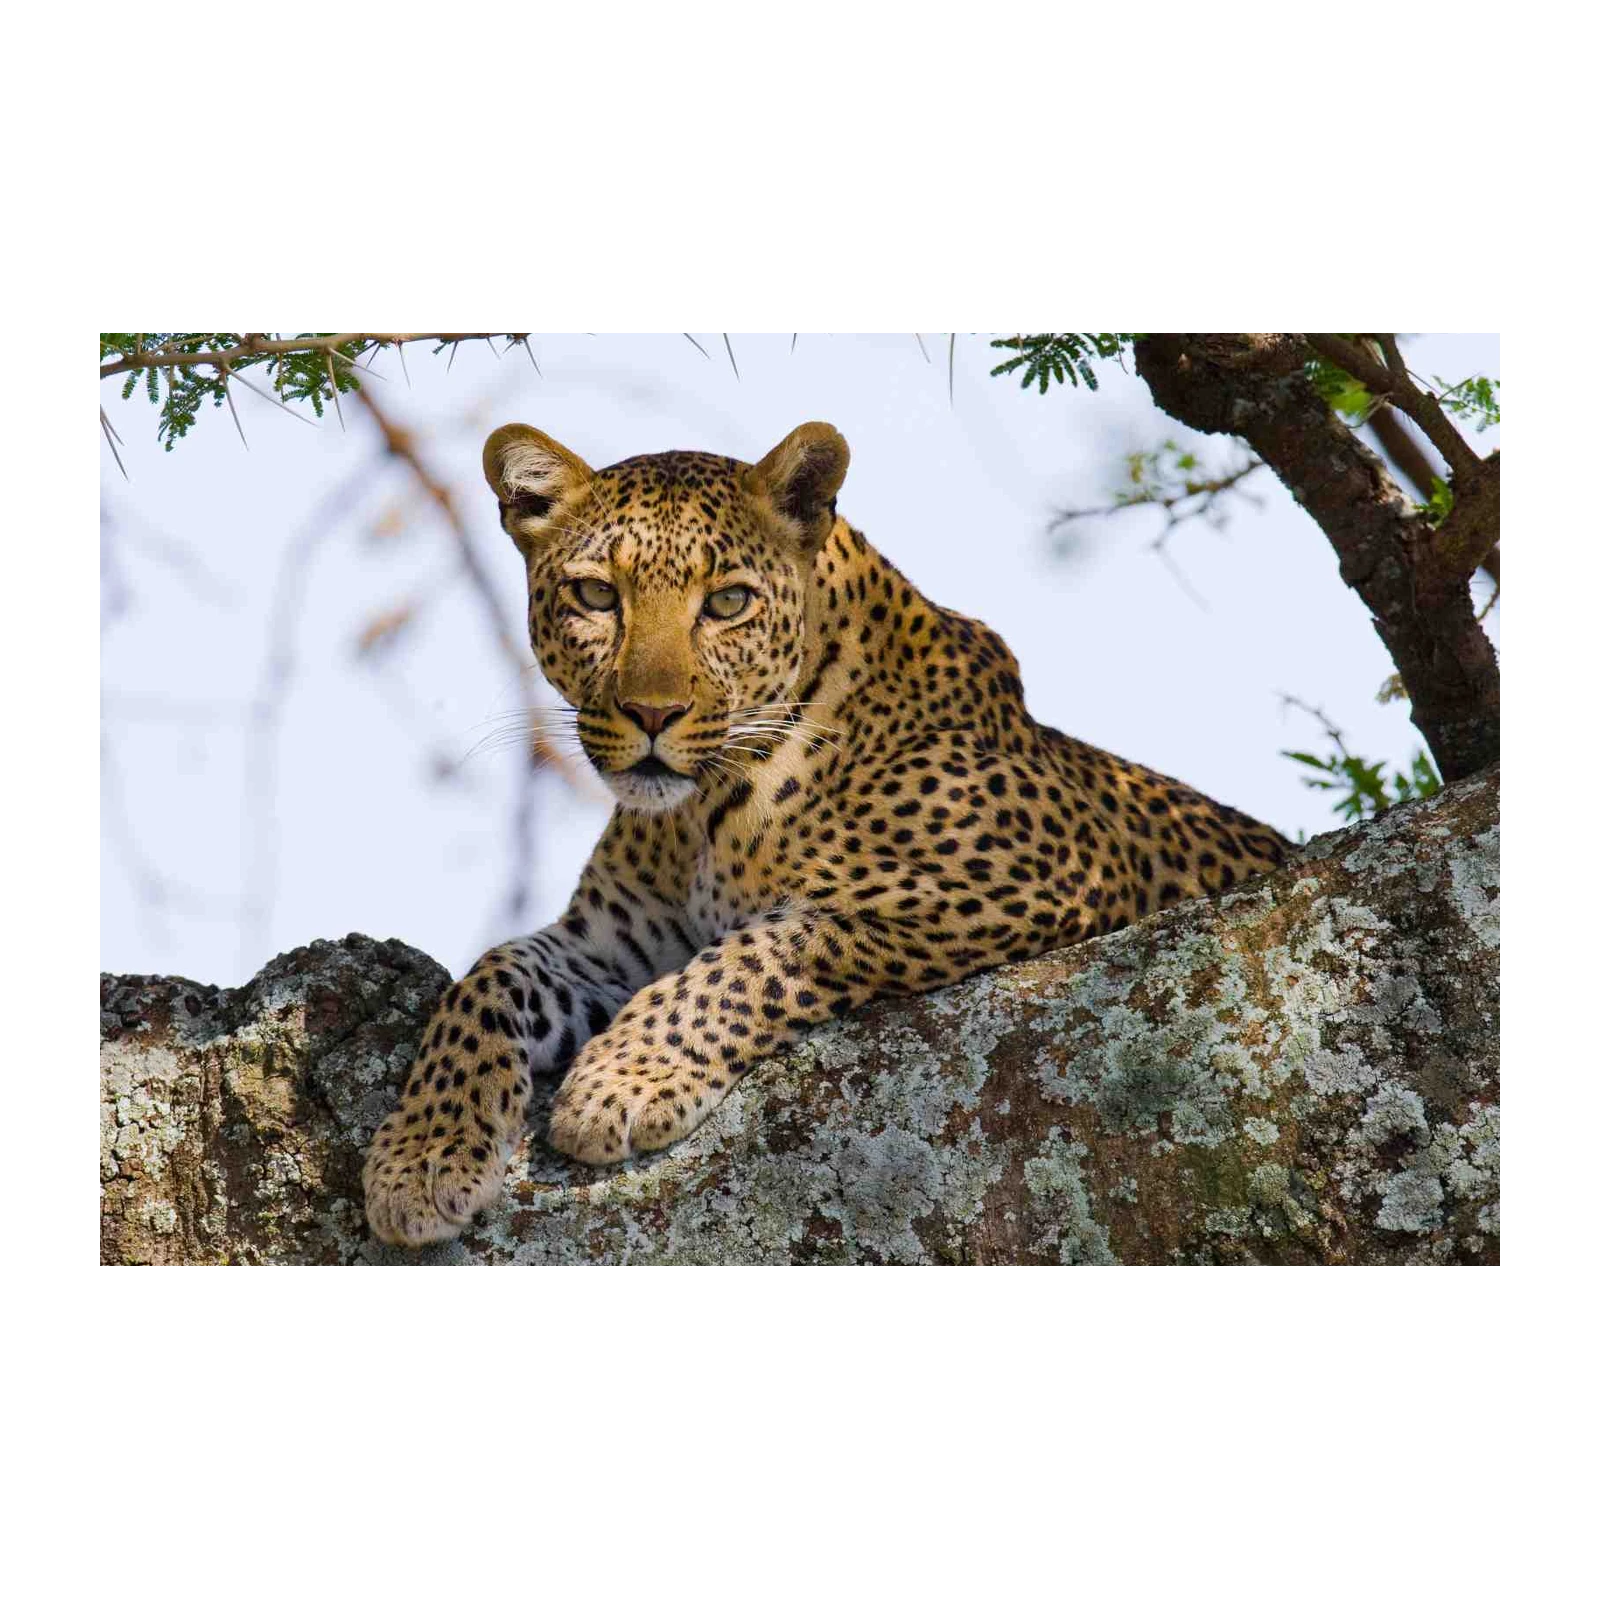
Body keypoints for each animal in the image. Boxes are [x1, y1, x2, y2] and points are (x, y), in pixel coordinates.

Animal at [362, 420, 1292, 1247]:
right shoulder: (611, 949)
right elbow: (488, 978)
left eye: (728, 602)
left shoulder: (1031, 879)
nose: (653, 715)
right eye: (596, 595)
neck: (700, 817)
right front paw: (423, 1156)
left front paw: (620, 1081)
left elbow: (762, 949)